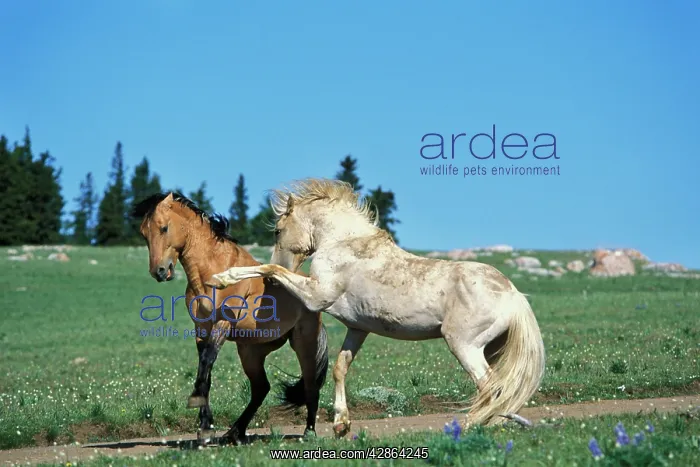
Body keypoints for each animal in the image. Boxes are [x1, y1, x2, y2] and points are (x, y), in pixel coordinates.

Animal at [131, 192, 329, 445]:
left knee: (310, 385)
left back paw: (309, 432)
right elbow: (205, 371)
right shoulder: (202, 330)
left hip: (304, 344)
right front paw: (205, 428)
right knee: (261, 388)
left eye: (164, 228)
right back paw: (235, 433)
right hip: (250, 351)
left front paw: (196, 404)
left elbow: (207, 361)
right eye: (143, 233)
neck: (211, 274)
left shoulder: (222, 324)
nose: (159, 271)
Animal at [206, 178, 545, 438]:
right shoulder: (358, 328)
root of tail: (513, 293)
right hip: (494, 348)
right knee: (503, 386)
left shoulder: (317, 296)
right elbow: (341, 368)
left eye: (278, 231)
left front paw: (223, 278)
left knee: (489, 386)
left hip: (465, 346)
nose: (270, 286)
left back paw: (477, 425)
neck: (343, 242)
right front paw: (341, 425)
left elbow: (270, 269)